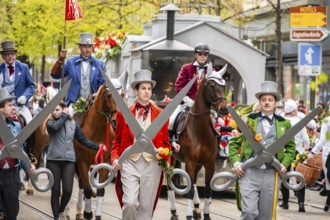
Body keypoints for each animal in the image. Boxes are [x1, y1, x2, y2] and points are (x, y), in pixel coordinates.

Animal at [170, 69, 227, 220]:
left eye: (224, 86)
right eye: (212, 85)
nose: (224, 109)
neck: (200, 130)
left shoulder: (209, 164)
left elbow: (207, 190)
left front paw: (206, 215)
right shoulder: (190, 162)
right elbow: (189, 190)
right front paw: (189, 215)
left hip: (198, 164)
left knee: (195, 182)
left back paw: (196, 209)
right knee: (169, 182)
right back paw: (174, 212)